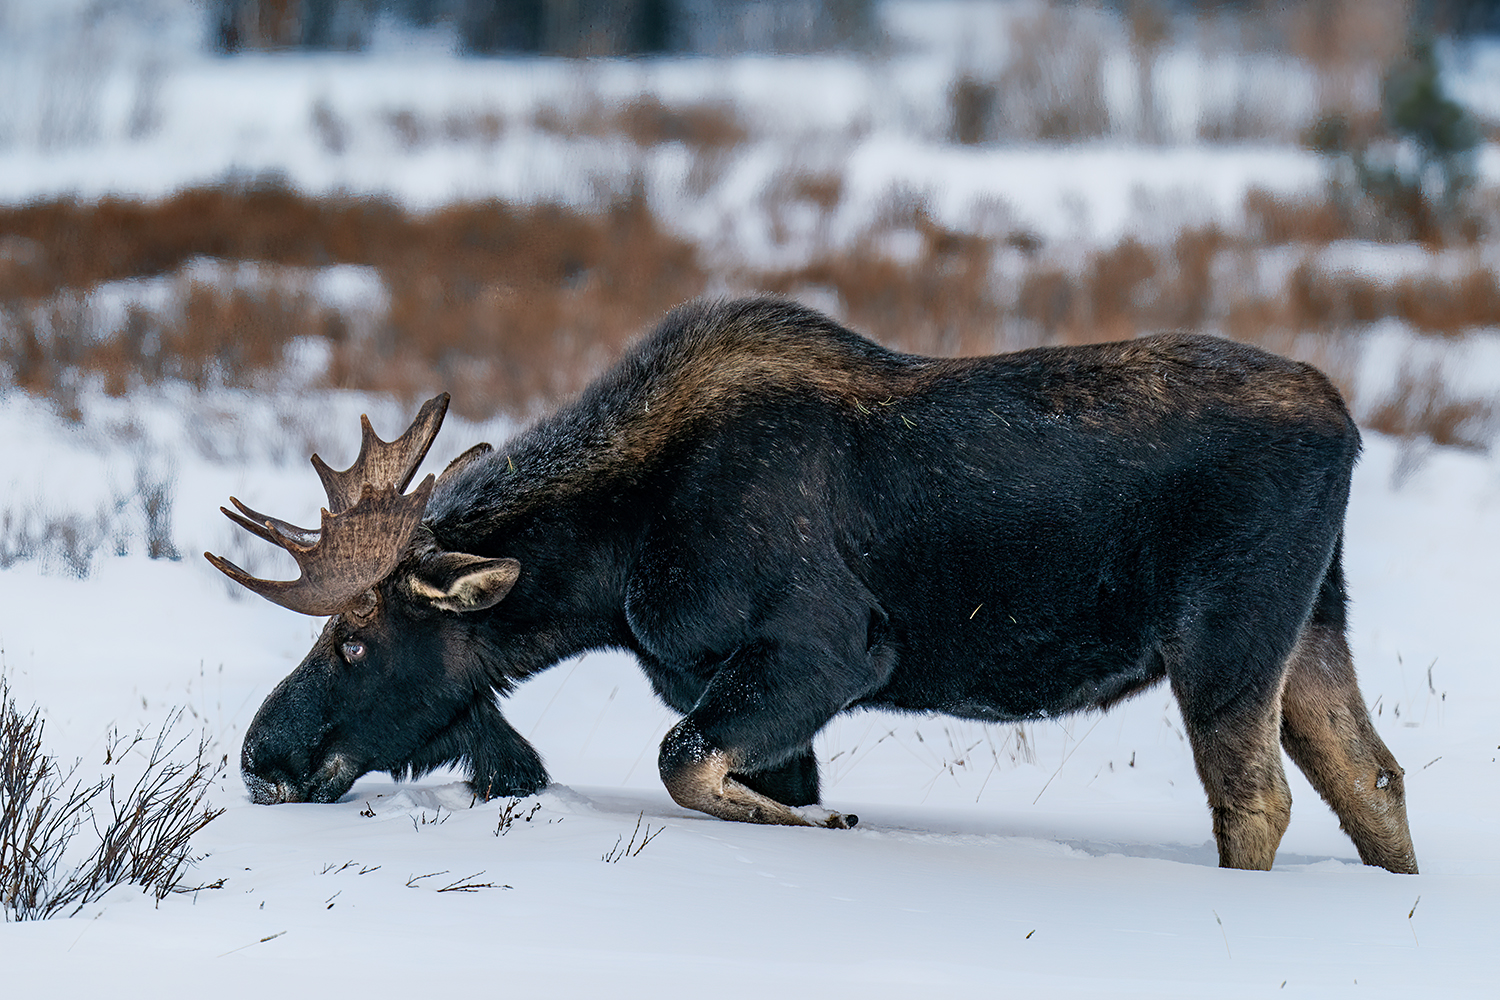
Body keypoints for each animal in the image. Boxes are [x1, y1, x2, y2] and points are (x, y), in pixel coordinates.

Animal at [208, 293, 1416, 869]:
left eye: (355, 639)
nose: (261, 758)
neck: (616, 554)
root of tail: (1349, 422)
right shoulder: (758, 690)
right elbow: (747, 781)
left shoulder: (828, 648)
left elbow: (686, 763)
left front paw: (836, 829)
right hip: (1317, 624)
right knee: (1375, 779)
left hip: (1226, 634)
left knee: (1256, 797)